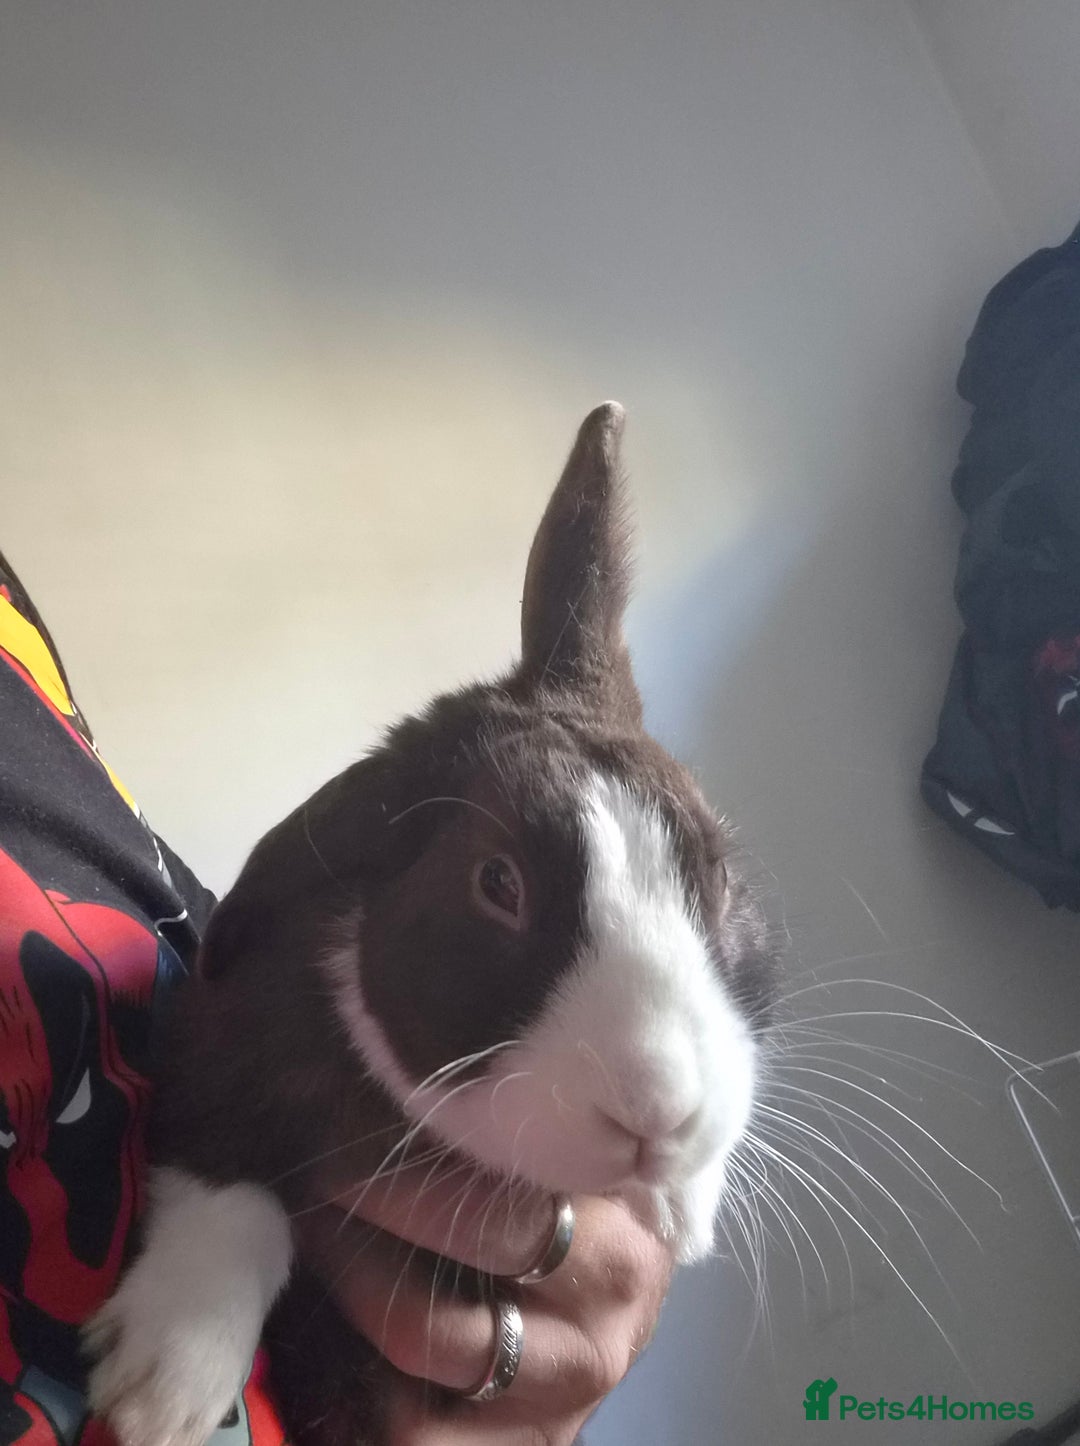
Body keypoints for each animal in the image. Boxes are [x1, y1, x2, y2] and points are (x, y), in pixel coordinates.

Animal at [85, 402, 780, 1446]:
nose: (660, 1114)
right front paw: (162, 1392)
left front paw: (681, 1205)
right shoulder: (220, 1047)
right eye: (497, 884)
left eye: (720, 875)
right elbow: (226, 1177)